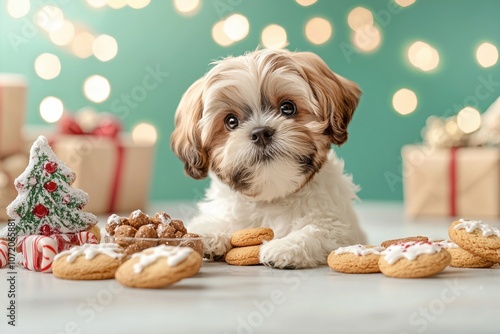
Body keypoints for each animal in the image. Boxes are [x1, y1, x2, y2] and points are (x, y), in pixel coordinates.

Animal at [170, 49, 366, 268]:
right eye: (231, 121)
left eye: (287, 108)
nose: (261, 133)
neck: (272, 195)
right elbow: (210, 221)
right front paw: (209, 234)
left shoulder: (339, 226)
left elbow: (321, 231)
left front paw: (285, 247)